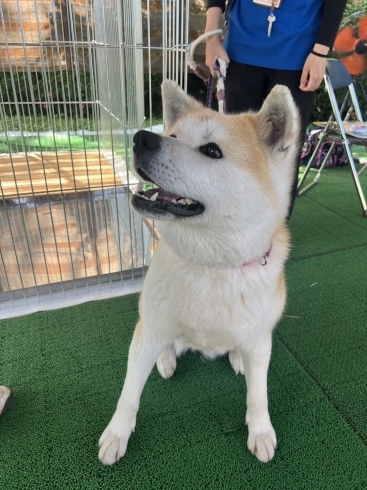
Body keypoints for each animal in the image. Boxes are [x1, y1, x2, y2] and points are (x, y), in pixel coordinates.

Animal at [99, 81, 300, 468]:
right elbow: (129, 392)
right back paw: (165, 359)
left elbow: (259, 393)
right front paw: (117, 433)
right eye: (173, 135)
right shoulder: (150, 330)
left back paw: (236, 357)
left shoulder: (259, 340)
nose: (142, 138)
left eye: (211, 150)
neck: (213, 268)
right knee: (166, 345)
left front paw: (260, 430)